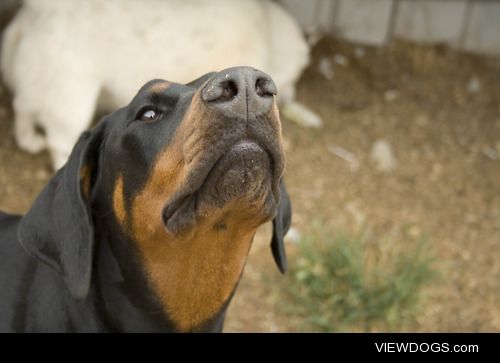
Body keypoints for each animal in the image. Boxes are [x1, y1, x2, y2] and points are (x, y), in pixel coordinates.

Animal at [0, 0, 318, 169]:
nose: (288, 94)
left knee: (23, 108)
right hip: (72, 101)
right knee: (59, 141)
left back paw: (29, 140)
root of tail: (33, 17)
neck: (269, 33)